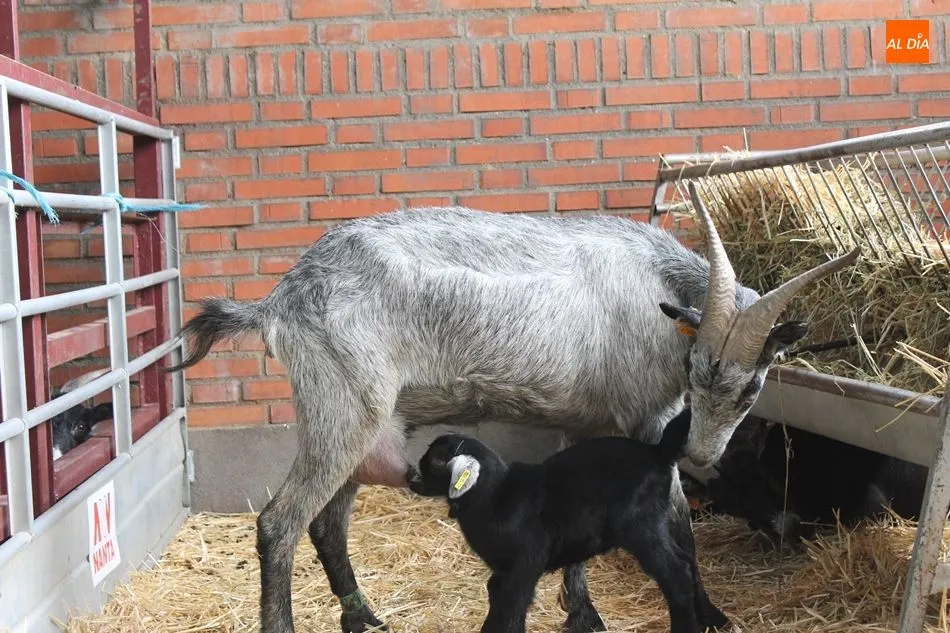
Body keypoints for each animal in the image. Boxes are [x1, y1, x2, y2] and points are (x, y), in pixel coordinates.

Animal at [409, 409, 729, 633]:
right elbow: (497, 601)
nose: (411, 475)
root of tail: (658, 452)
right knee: (686, 562)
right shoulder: (502, 570)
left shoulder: (525, 563)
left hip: (641, 526)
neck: (496, 494)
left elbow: (513, 607)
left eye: (436, 460)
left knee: (675, 574)